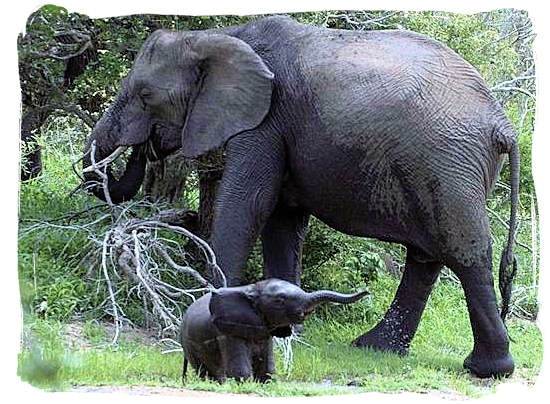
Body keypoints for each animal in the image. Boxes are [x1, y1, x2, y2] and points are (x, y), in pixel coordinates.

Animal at [181, 278, 368, 382]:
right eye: (280, 300)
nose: (367, 290)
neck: (251, 289)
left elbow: (267, 369)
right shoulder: (227, 332)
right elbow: (241, 370)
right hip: (190, 345)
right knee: (206, 371)